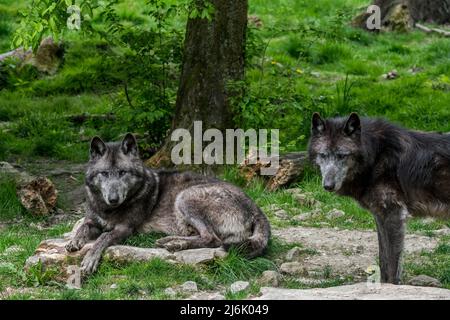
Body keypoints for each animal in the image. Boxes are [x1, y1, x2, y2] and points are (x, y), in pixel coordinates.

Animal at [66, 134, 270, 276]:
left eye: (123, 172)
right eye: (105, 173)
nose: (113, 198)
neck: (107, 208)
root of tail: (257, 209)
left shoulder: (124, 228)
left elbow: (103, 237)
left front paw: (90, 258)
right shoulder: (93, 220)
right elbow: (84, 225)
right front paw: (74, 241)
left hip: (184, 197)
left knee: (212, 239)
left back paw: (174, 244)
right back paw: (169, 240)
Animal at [308, 112, 450, 282]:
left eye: (342, 156)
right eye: (323, 155)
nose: (328, 186)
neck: (376, 155)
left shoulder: (394, 215)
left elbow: (393, 267)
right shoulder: (380, 217)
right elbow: (383, 261)